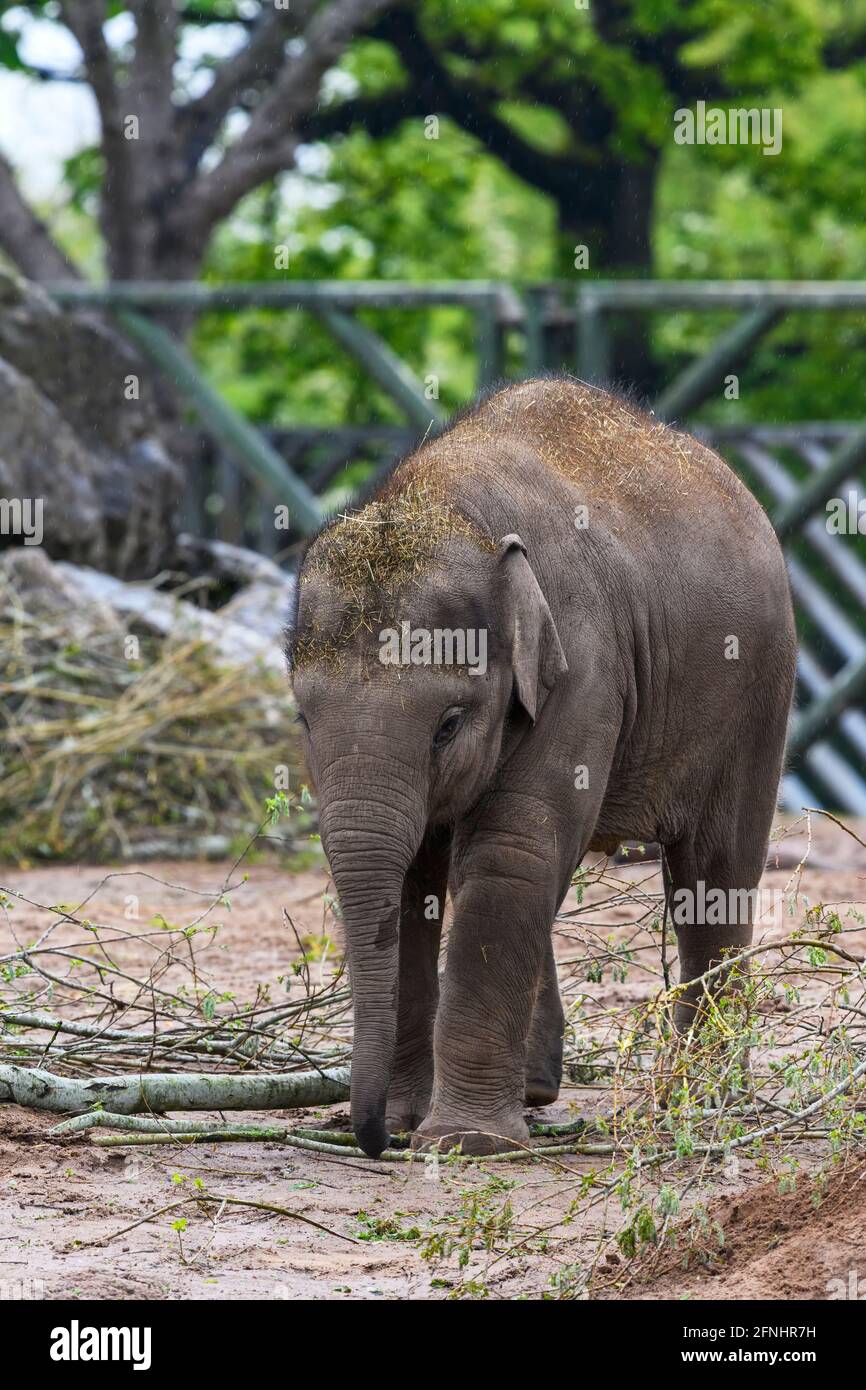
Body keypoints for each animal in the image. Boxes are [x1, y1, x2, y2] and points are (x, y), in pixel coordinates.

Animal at [287, 375, 795, 1156]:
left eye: (448, 725)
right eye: (303, 721)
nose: (368, 1136)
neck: (449, 505)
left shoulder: (584, 664)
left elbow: (511, 847)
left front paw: (461, 1143)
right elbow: (417, 880)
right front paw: (415, 1123)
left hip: (759, 690)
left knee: (716, 870)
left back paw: (698, 1102)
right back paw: (538, 1091)